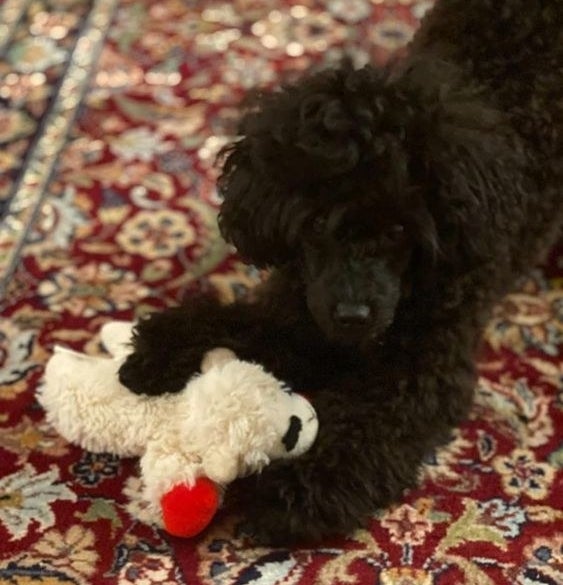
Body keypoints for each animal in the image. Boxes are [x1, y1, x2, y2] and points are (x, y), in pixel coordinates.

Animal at [119, 0, 560, 544]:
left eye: (399, 228)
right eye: (313, 222)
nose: (352, 315)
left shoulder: (422, 369)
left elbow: (360, 426)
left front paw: (298, 491)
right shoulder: (303, 311)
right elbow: (238, 324)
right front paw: (159, 350)